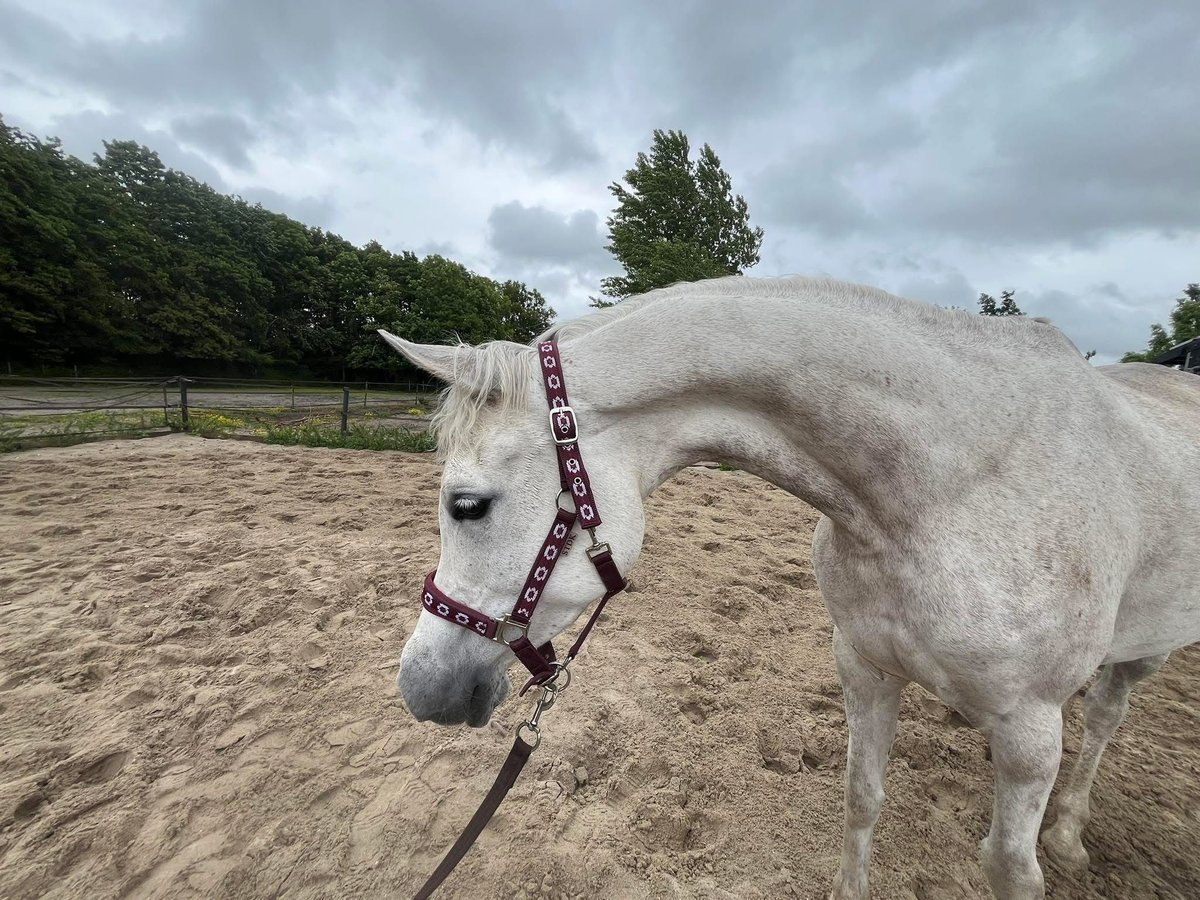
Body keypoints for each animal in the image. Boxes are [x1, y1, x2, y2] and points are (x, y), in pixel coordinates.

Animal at [383, 275, 1200, 899]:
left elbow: (1009, 868)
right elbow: (862, 798)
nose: (420, 688)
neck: (946, 490)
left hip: (1144, 652)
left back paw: (1068, 834)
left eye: (468, 505)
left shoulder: (1030, 726)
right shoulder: (865, 670)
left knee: (1105, 720)